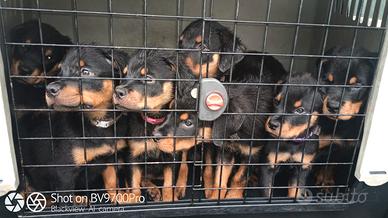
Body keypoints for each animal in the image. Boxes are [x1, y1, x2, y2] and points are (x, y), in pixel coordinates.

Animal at [22, 46, 131, 204]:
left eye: (85, 72)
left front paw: (119, 198)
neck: (99, 123)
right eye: (59, 72)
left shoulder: (110, 159)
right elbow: (66, 200)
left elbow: (111, 184)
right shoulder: (64, 173)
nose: (49, 90)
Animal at [113, 50, 188, 202]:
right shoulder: (132, 156)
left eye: (148, 79)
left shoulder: (172, 155)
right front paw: (134, 200)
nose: (117, 92)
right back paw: (152, 189)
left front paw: (169, 199)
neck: (153, 120)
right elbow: (134, 185)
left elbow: (168, 184)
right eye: (124, 75)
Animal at [316, 47, 376, 191]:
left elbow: (330, 164)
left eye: (356, 85)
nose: (332, 107)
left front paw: (326, 182)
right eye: (327, 81)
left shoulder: (340, 147)